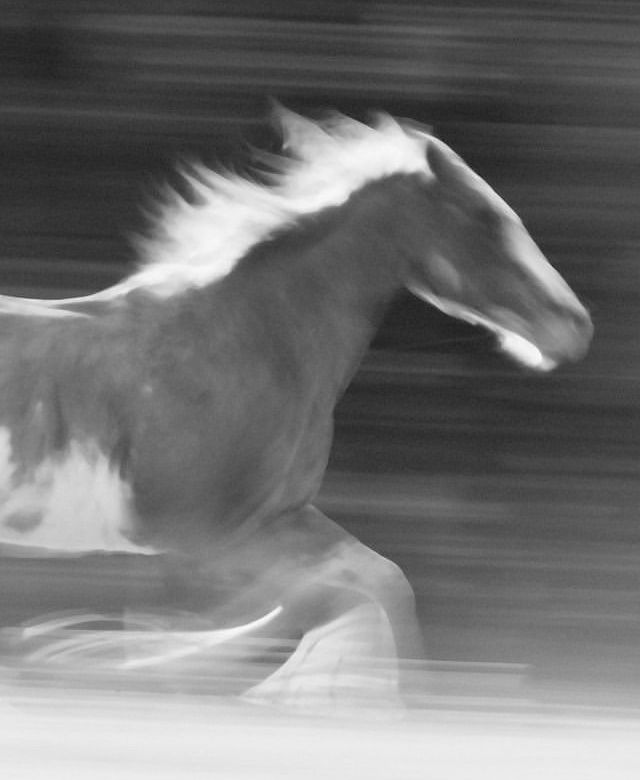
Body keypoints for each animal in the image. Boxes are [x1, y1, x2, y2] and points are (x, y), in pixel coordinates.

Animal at [0, 106, 592, 707]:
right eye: (483, 215)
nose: (574, 326)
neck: (246, 343)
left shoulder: (284, 516)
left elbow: (379, 583)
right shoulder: (207, 539)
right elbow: (312, 600)